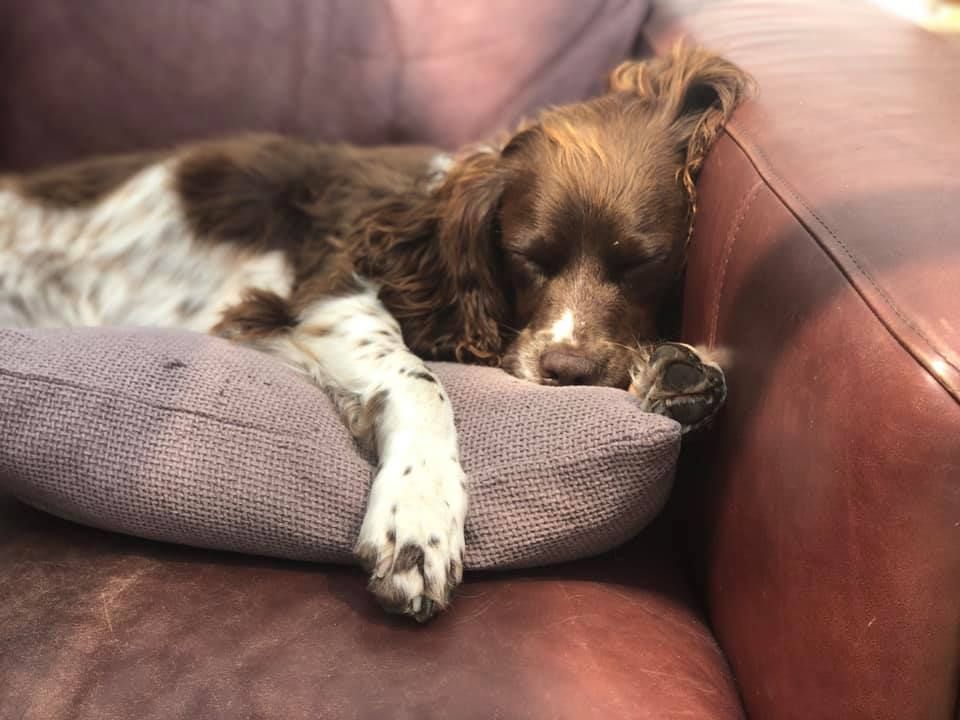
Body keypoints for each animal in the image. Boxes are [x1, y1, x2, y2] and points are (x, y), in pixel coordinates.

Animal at [0, 45, 752, 620]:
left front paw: (680, 375)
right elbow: (418, 380)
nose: (566, 372)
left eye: (644, 264)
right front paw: (420, 517)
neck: (424, 223)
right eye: (526, 257)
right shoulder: (321, 293)